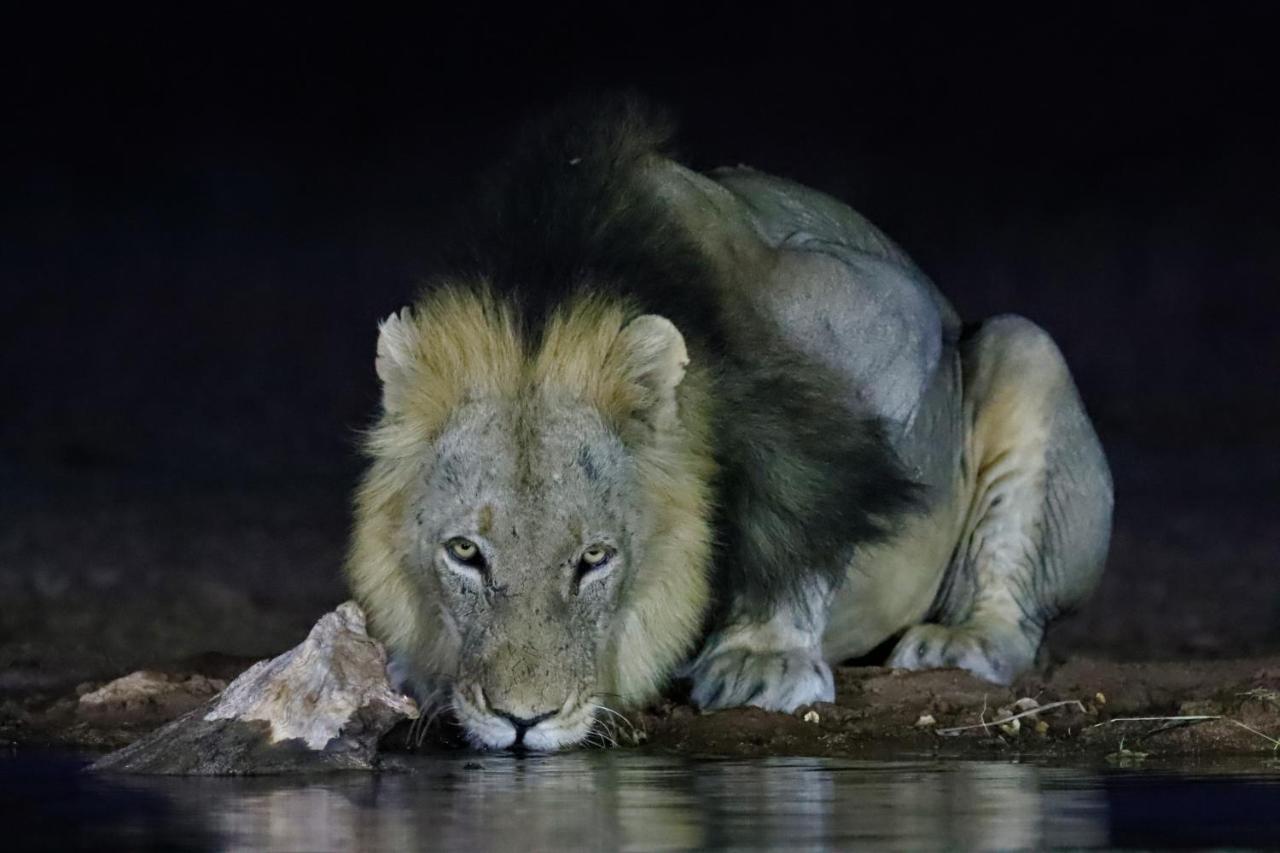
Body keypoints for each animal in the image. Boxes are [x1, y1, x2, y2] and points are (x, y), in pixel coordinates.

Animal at [345, 97, 1116, 742]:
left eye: (594, 559)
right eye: (464, 552)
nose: (521, 720)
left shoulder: (890, 328)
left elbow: (815, 516)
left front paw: (763, 655)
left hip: (1022, 349)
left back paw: (960, 642)